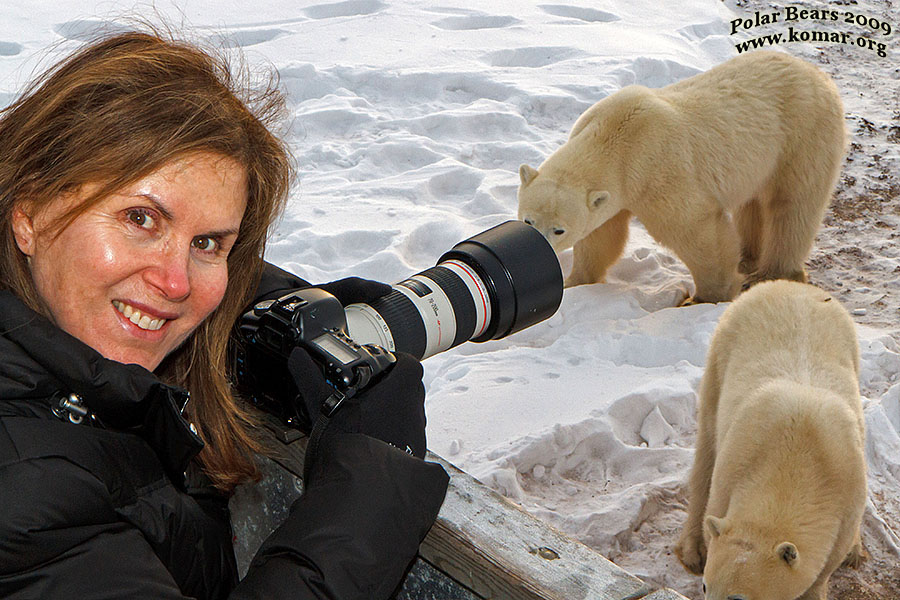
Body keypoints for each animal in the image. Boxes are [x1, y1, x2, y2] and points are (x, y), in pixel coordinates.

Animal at [516, 50, 848, 304]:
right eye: (527, 220)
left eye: (559, 229)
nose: (537, 251)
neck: (617, 137)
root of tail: (815, 73)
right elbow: (601, 235)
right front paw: (576, 281)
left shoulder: (657, 170)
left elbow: (695, 230)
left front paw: (703, 297)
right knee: (752, 204)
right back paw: (747, 257)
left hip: (803, 134)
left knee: (793, 204)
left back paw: (772, 272)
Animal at [676, 282, 864, 600]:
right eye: (705, 586)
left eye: (737, 598)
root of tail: (786, 285)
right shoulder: (733, 467)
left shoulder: (849, 494)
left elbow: (826, 564)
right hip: (721, 353)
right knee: (706, 447)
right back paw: (692, 550)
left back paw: (857, 552)